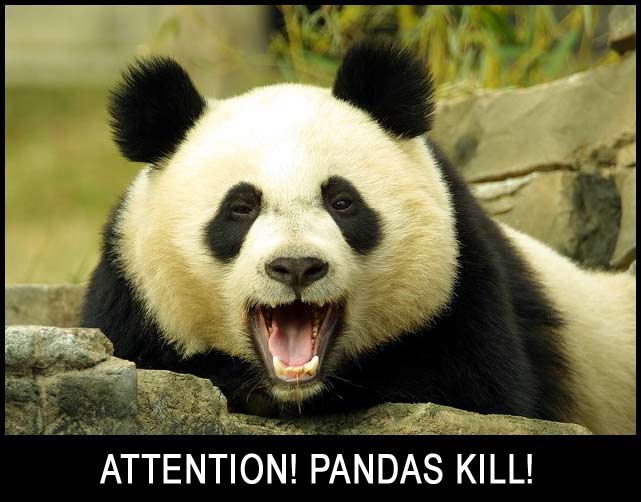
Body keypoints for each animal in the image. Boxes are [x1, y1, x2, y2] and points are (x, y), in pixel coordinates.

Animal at [82, 40, 636, 434]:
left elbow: (472, 389)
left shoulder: (466, 284)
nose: (297, 266)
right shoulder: (130, 296)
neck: (298, 391)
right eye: (240, 208)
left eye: (342, 201)